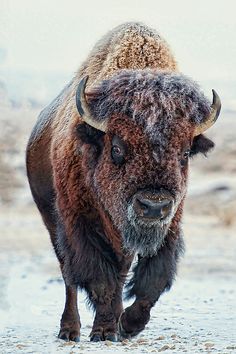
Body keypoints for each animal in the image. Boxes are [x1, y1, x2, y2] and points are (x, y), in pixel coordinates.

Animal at [26, 22, 220, 342]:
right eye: (117, 148)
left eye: (184, 153)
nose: (153, 206)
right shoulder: (80, 223)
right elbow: (99, 278)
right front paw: (105, 331)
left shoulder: (169, 226)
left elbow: (151, 280)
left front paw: (127, 325)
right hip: (51, 221)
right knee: (69, 274)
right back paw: (69, 330)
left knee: (118, 271)